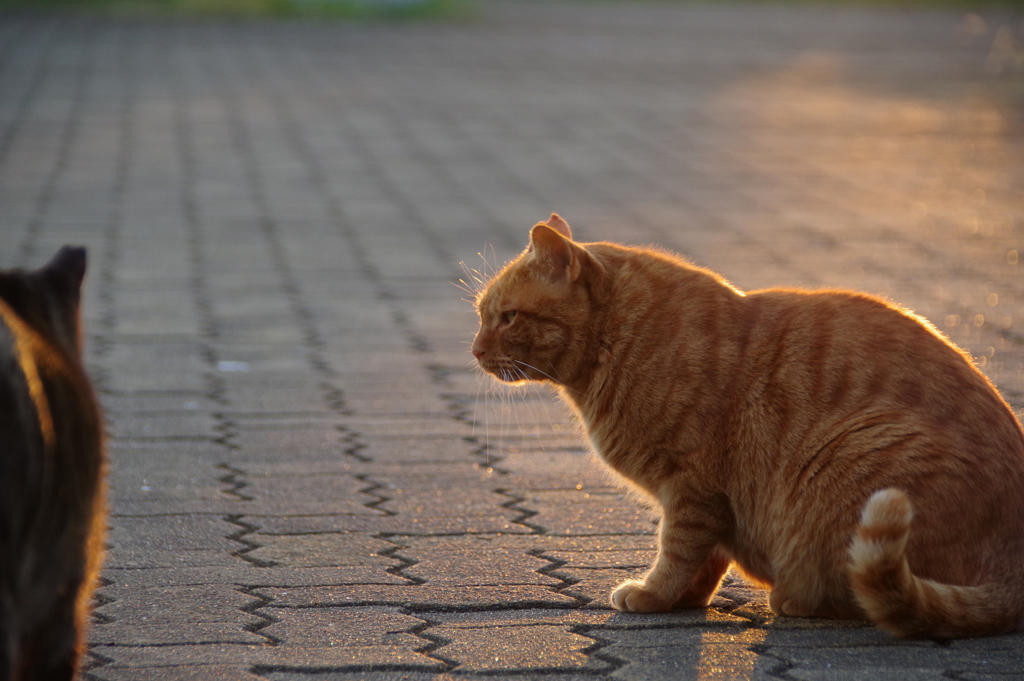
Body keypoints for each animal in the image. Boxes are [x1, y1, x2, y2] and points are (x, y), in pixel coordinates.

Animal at [468, 216, 1024, 639]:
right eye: (480, 315)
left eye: (508, 317)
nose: (473, 351)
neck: (617, 343)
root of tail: (1013, 571)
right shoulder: (711, 502)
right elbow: (705, 557)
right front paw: (684, 599)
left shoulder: (692, 484)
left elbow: (676, 548)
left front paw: (653, 594)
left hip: (855, 455)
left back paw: (797, 599)